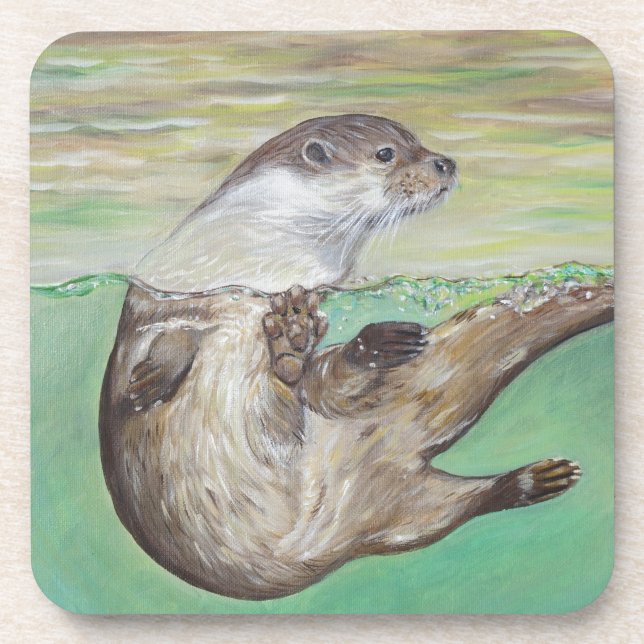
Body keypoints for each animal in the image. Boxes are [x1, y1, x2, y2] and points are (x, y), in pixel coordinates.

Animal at [99, 115, 613, 600]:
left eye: (418, 143)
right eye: (387, 153)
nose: (444, 163)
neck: (266, 259)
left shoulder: (318, 289)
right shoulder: (161, 293)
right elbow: (162, 341)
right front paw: (149, 380)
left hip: (405, 511)